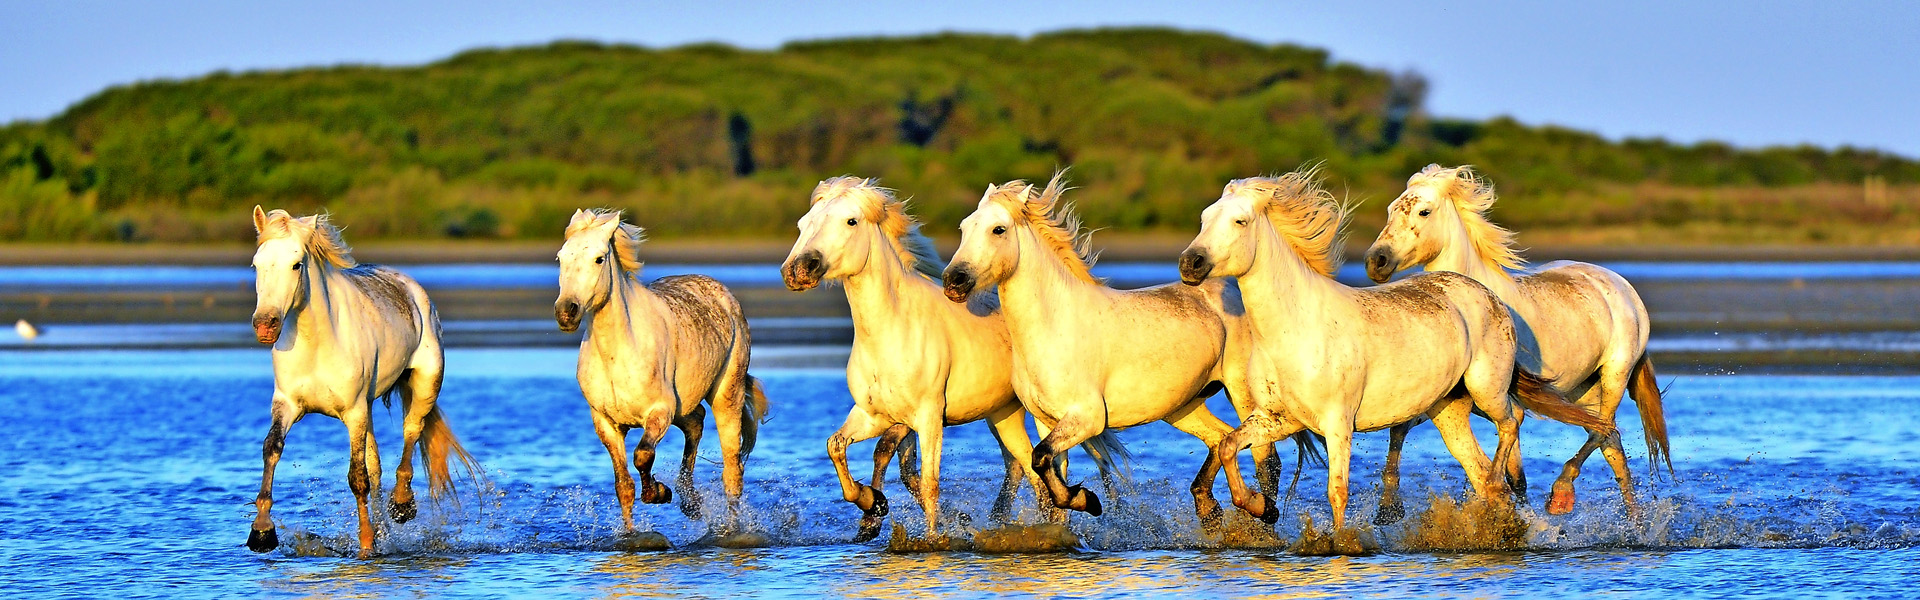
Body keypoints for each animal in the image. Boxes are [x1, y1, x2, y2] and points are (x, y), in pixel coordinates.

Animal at [243, 207, 480, 557]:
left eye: (296, 264)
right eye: (256, 264)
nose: (265, 325)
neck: (317, 344)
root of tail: (410, 287)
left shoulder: (353, 411)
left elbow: (357, 477)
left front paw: (367, 544)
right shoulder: (287, 404)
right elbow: (272, 448)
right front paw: (261, 532)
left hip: (424, 384)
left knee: (411, 432)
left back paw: (401, 506)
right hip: (368, 406)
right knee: (377, 463)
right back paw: (385, 528)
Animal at [940, 173, 1297, 523]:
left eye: (998, 229)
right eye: (964, 227)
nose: (953, 281)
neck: (1053, 326)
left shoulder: (1088, 418)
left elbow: (1040, 459)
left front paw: (1090, 501)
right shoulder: (1046, 420)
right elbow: (1050, 478)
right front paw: (1080, 504)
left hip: (1242, 393)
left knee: (1265, 458)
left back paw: (1261, 514)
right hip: (1183, 405)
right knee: (1220, 438)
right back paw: (1207, 507)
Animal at [1367, 165, 1666, 515]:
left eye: (1423, 211)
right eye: (1391, 209)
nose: (1376, 262)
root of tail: (1622, 285)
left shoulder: (1509, 403)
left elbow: (1514, 472)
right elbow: (1401, 426)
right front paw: (1388, 508)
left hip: (1615, 374)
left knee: (1605, 428)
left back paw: (1562, 494)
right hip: (1582, 388)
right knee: (1610, 440)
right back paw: (1633, 520)